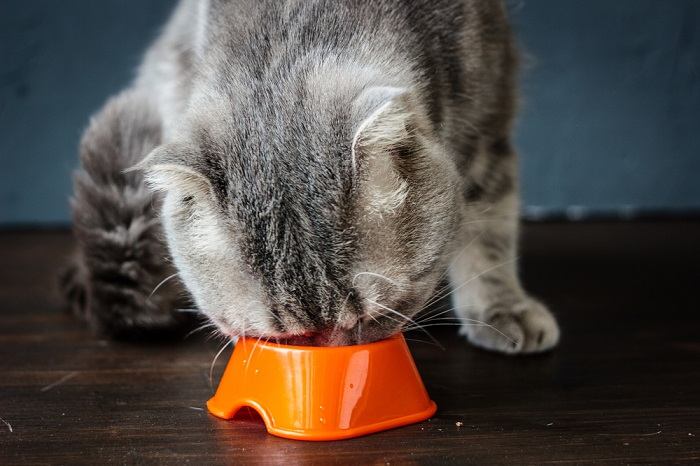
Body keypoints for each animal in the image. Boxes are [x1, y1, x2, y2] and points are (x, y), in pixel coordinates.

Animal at [63, 0, 560, 354]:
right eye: (285, 336)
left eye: (369, 316)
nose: (330, 350)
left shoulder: (488, 126)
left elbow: (488, 231)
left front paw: (501, 307)